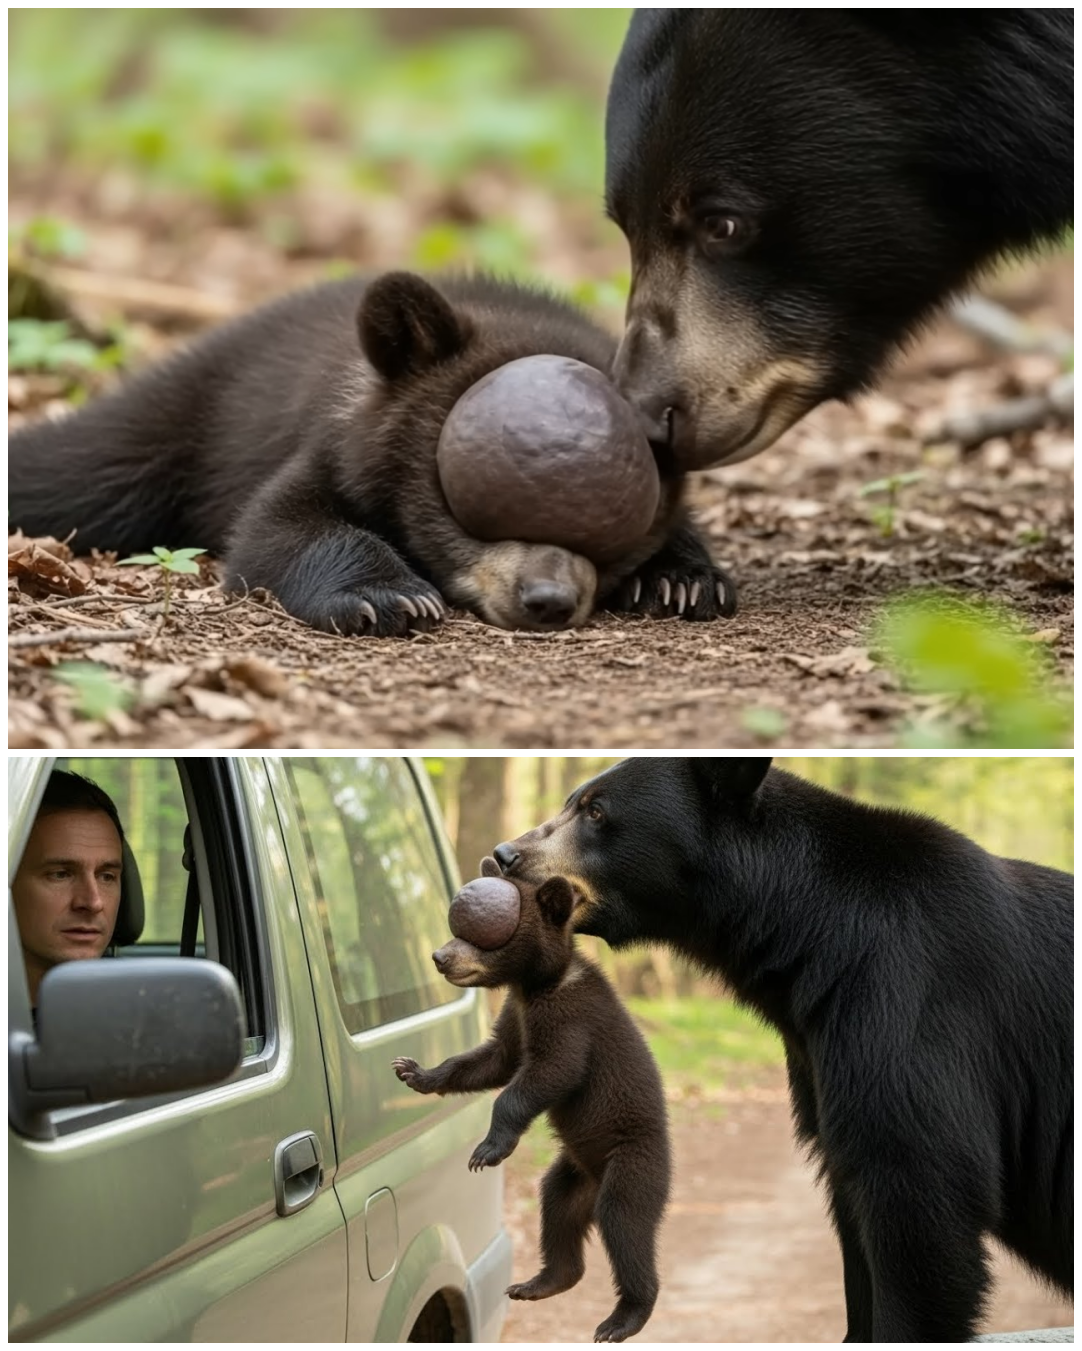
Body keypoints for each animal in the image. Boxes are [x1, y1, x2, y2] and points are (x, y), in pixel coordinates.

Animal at [8, 271, 737, 635]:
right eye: (473, 503)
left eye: (611, 523)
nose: (548, 600)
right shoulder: (331, 440)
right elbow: (278, 526)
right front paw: (388, 596)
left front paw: (680, 579)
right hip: (178, 425)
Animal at [392, 857, 671, 1345]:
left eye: (483, 935)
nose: (440, 956)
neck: (536, 984)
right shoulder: (516, 1014)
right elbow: (494, 1059)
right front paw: (414, 1072)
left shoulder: (569, 1018)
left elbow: (548, 1072)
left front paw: (487, 1150)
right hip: (572, 1175)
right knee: (556, 1209)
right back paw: (539, 1282)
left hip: (634, 1162)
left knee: (626, 1224)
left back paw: (623, 1318)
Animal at [493, 757, 1074, 1343]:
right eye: (573, 801)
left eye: (596, 810)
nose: (505, 856)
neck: (813, 939)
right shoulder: (821, 1054)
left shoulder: (909, 1004)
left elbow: (920, 1182)